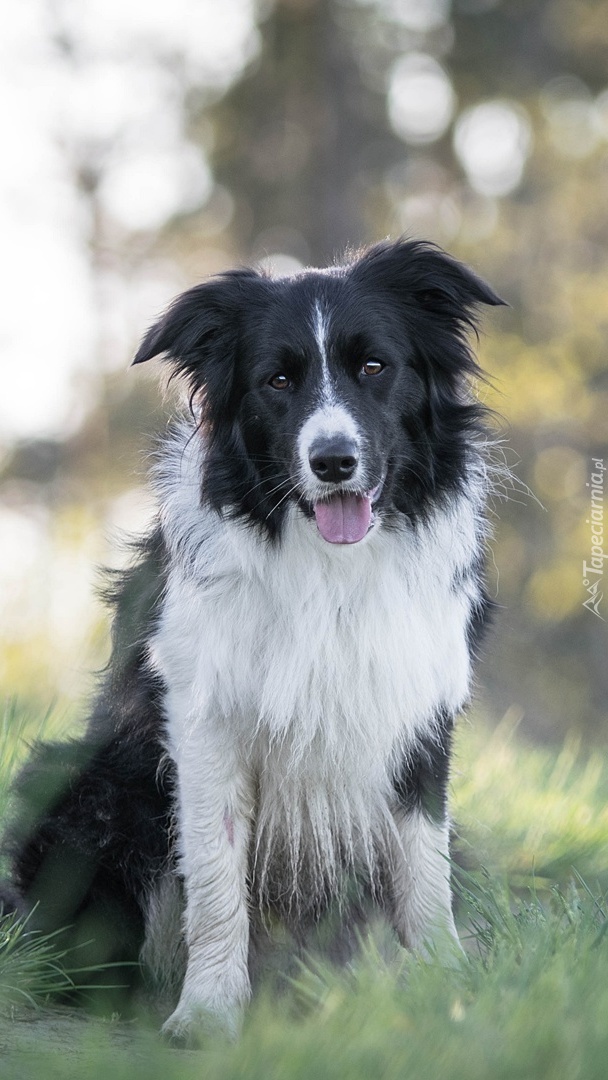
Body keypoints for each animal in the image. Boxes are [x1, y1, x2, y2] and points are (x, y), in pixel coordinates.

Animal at [3, 243, 505, 1036]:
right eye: (278, 380)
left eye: (374, 366)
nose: (333, 461)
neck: (329, 566)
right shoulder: (206, 718)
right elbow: (216, 880)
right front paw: (208, 1013)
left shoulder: (419, 714)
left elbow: (424, 871)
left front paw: (446, 987)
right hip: (84, 786)